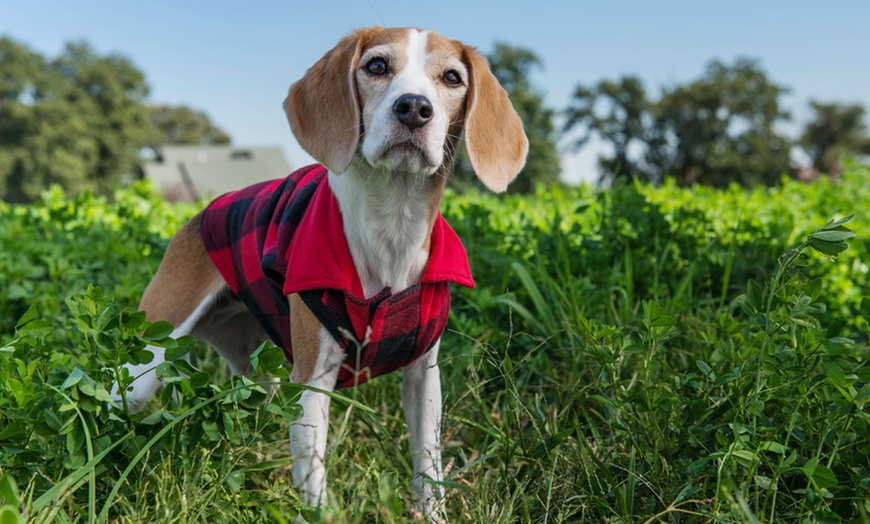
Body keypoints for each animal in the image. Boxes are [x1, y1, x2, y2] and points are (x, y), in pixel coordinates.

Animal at [116, 26, 532, 516]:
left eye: (452, 77)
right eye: (376, 65)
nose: (414, 107)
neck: (391, 228)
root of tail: (197, 214)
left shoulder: (424, 375)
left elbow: (428, 465)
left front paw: (431, 513)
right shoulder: (312, 379)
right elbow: (313, 474)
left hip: (256, 370)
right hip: (148, 359)